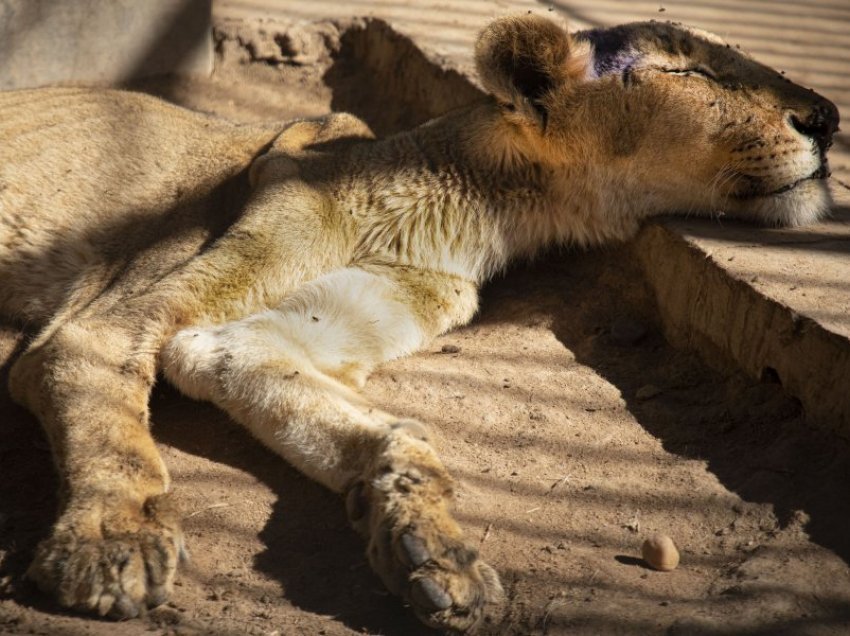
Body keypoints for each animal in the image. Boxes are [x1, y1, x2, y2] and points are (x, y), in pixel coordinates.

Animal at [0, 13, 836, 632]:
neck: (475, 208)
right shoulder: (116, 314)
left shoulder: (234, 337)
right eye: (691, 72)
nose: (828, 117)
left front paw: (433, 555)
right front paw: (113, 541)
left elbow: (395, 431)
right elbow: (106, 399)